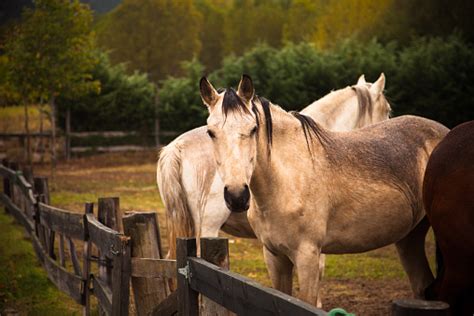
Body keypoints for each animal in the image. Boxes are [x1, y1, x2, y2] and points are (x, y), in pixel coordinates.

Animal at [199, 74, 448, 306]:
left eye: (253, 129)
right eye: (210, 132)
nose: (236, 196)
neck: (287, 180)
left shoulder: (308, 257)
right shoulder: (275, 257)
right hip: (409, 238)